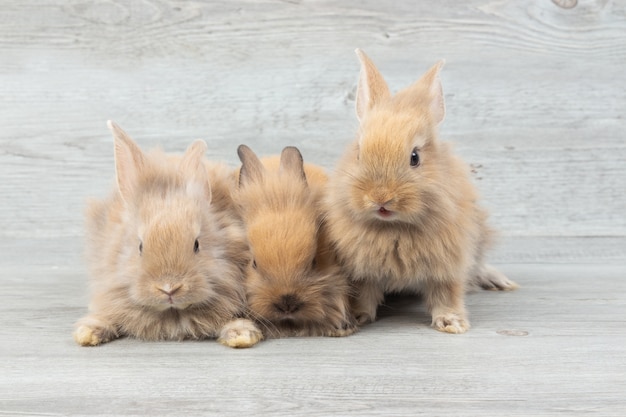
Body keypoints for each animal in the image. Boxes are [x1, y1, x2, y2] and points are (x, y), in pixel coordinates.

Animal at [72, 121, 262, 348]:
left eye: (197, 245)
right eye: (140, 246)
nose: (169, 288)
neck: (173, 314)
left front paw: (241, 335)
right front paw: (88, 332)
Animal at [322, 50, 516, 334]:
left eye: (414, 157)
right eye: (358, 154)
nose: (380, 198)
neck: (394, 228)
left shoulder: (447, 265)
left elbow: (446, 294)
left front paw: (452, 323)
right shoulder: (363, 271)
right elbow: (365, 294)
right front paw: (357, 317)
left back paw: (498, 281)